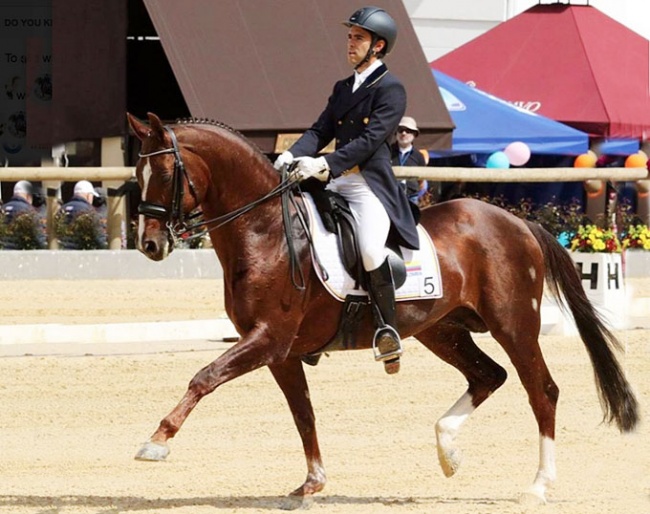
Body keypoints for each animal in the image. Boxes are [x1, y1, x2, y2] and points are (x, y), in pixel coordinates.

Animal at [126, 111, 636, 504]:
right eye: (136, 177)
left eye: (166, 174)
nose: (150, 245)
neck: (266, 229)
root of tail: (517, 221)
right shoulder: (280, 352)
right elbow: (303, 412)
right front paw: (312, 483)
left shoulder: (269, 337)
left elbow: (204, 376)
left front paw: (156, 442)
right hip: (441, 330)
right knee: (488, 376)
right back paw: (448, 453)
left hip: (514, 324)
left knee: (541, 390)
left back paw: (538, 485)